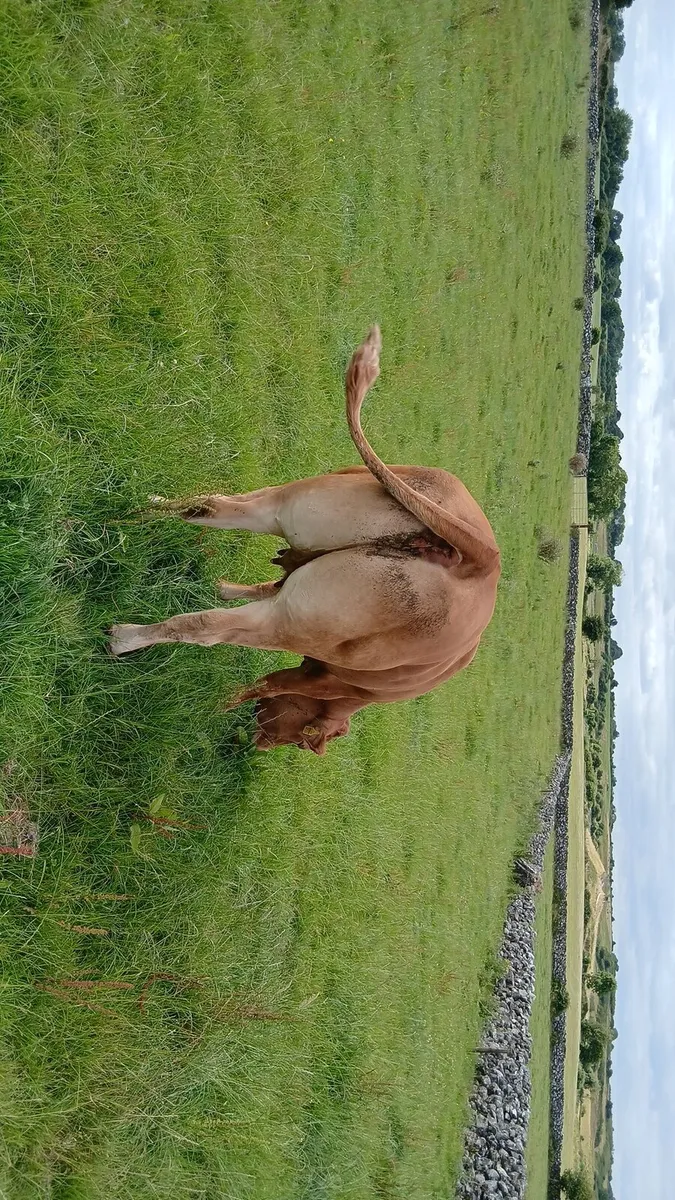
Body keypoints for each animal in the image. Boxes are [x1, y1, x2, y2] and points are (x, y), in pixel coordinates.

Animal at [109, 327, 501, 754]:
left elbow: (264, 583)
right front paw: (218, 706)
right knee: (206, 627)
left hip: (291, 508)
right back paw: (124, 638)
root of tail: (480, 560)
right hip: (292, 619)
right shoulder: (315, 676)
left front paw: (223, 587)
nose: (261, 746)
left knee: (208, 507)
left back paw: (136, 512)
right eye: (300, 742)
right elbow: (260, 684)